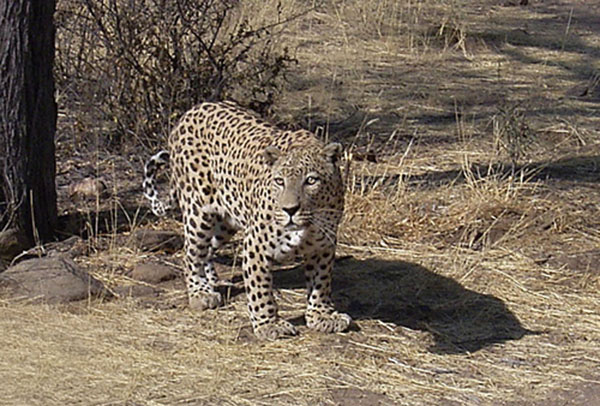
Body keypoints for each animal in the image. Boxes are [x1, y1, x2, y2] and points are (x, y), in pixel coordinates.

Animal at [144, 101, 352, 340]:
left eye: (311, 180)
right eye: (279, 181)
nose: (290, 209)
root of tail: (191, 111)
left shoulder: (323, 245)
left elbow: (321, 282)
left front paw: (321, 316)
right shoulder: (256, 245)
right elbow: (260, 289)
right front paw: (269, 324)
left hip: (225, 221)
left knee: (208, 248)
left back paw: (211, 281)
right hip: (199, 211)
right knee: (191, 252)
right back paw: (201, 293)